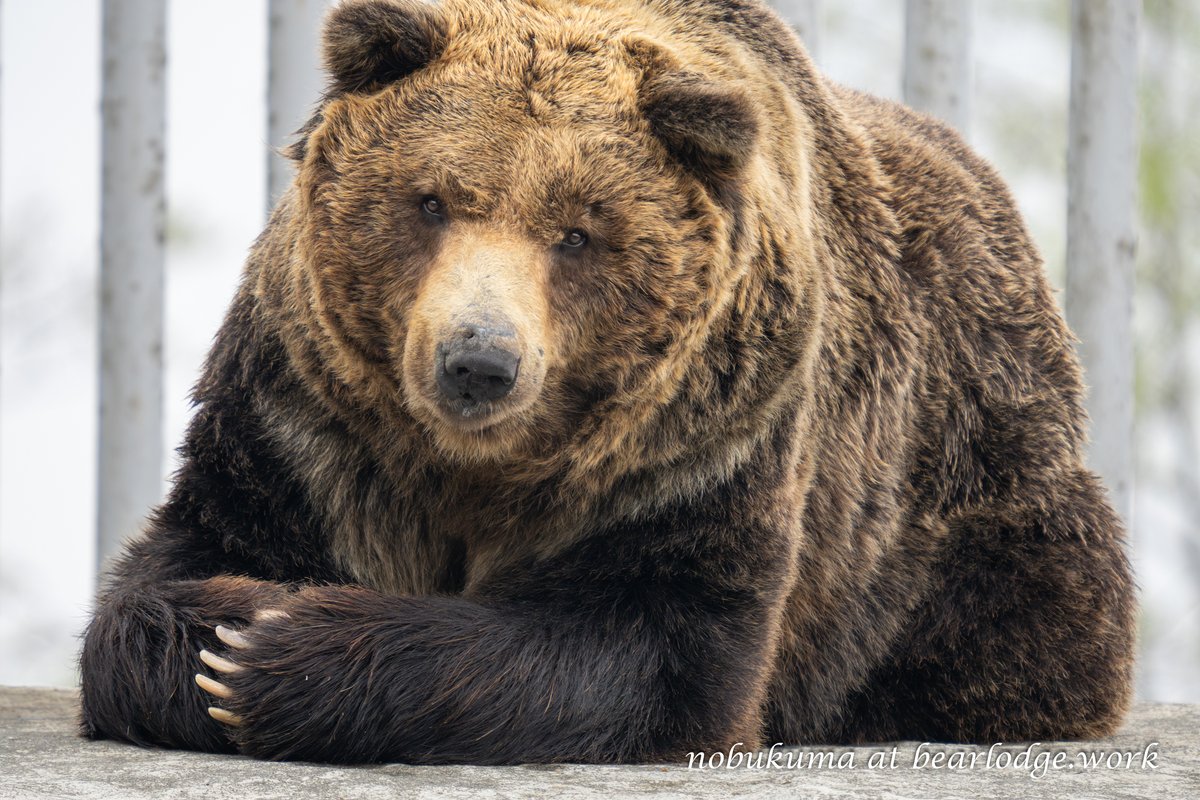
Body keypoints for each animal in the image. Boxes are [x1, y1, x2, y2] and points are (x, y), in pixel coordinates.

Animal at [79, 0, 1136, 764]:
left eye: (577, 232)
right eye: (430, 200)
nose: (477, 360)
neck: (470, 465)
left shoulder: (701, 447)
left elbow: (651, 649)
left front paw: (276, 653)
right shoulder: (304, 420)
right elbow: (172, 567)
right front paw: (226, 630)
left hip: (966, 495)